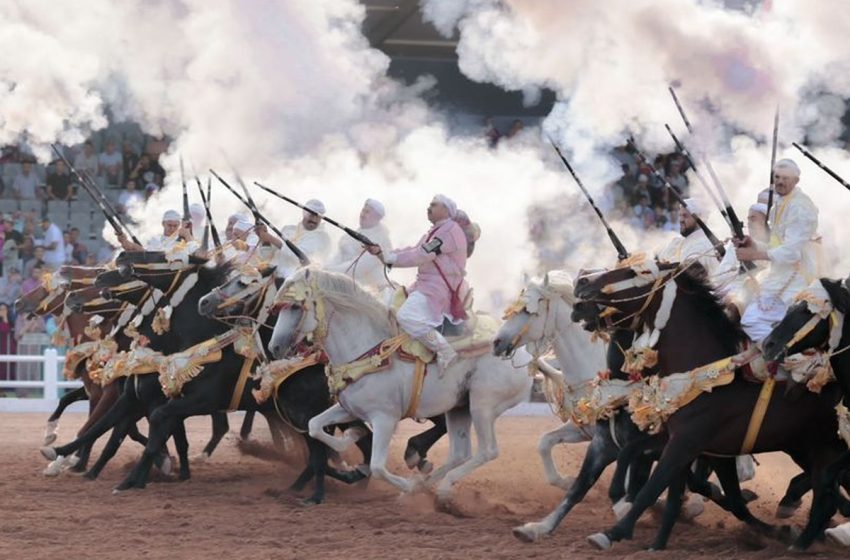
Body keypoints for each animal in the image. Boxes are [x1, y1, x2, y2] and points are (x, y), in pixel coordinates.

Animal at [268, 270, 532, 500]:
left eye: (295, 306)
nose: (274, 347)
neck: (367, 351)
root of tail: (523, 357)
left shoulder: (385, 419)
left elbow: (377, 467)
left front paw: (402, 483)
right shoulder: (347, 409)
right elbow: (315, 426)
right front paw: (353, 438)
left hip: (482, 406)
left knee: (487, 451)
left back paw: (438, 489)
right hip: (459, 408)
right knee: (459, 453)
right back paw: (420, 486)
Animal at [568, 262, 840, 552]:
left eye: (636, 272)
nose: (582, 281)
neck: (705, 377)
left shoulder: (687, 442)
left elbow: (653, 486)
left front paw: (612, 531)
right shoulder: (692, 446)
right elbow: (675, 493)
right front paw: (656, 543)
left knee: (825, 492)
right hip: (807, 447)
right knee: (825, 492)